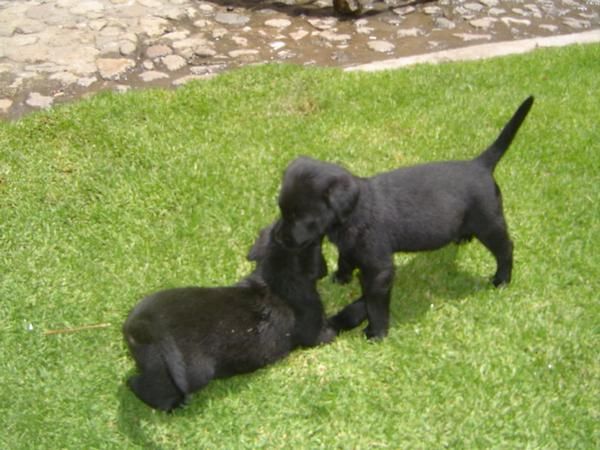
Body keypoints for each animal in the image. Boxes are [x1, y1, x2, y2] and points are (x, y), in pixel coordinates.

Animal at [276, 96, 536, 340]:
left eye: (301, 217)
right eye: (281, 210)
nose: (278, 239)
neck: (353, 212)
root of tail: (480, 165)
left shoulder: (379, 268)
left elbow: (375, 304)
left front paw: (376, 332)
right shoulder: (349, 247)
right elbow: (345, 259)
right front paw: (341, 278)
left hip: (490, 223)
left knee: (506, 249)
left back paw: (502, 279)